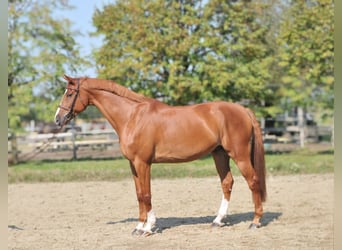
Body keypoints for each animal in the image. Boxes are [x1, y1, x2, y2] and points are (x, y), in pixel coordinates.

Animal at [54, 75, 268, 235]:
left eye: (70, 93)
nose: (58, 119)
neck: (132, 116)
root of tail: (242, 109)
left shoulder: (143, 163)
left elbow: (146, 194)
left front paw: (148, 227)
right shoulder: (133, 164)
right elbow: (139, 194)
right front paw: (139, 226)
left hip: (239, 155)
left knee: (253, 181)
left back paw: (255, 221)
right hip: (220, 154)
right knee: (227, 183)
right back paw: (217, 220)